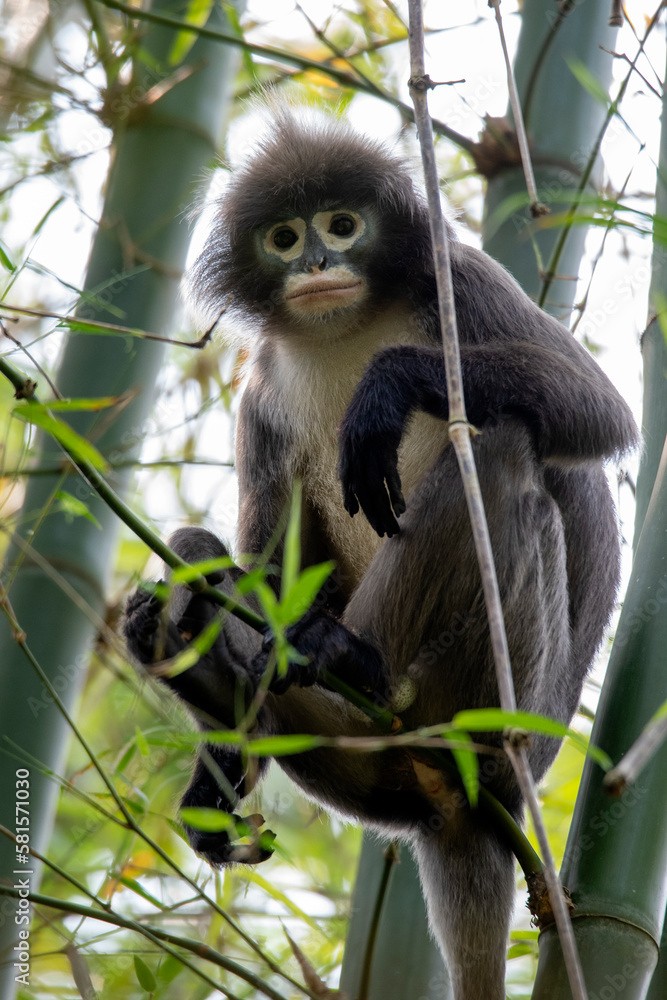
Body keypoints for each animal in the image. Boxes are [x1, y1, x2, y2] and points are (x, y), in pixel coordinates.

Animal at [124, 109, 638, 1000]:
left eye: (341, 225)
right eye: (284, 237)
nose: (317, 264)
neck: (344, 331)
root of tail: (456, 810)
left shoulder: (460, 279)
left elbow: (597, 409)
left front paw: (385, 388)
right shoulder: (261, 390)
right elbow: (265, 558)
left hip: (502, 713)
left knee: (502, 444)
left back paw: (355, 661)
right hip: (339, 758)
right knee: (219, 575)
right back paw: (200, 666)